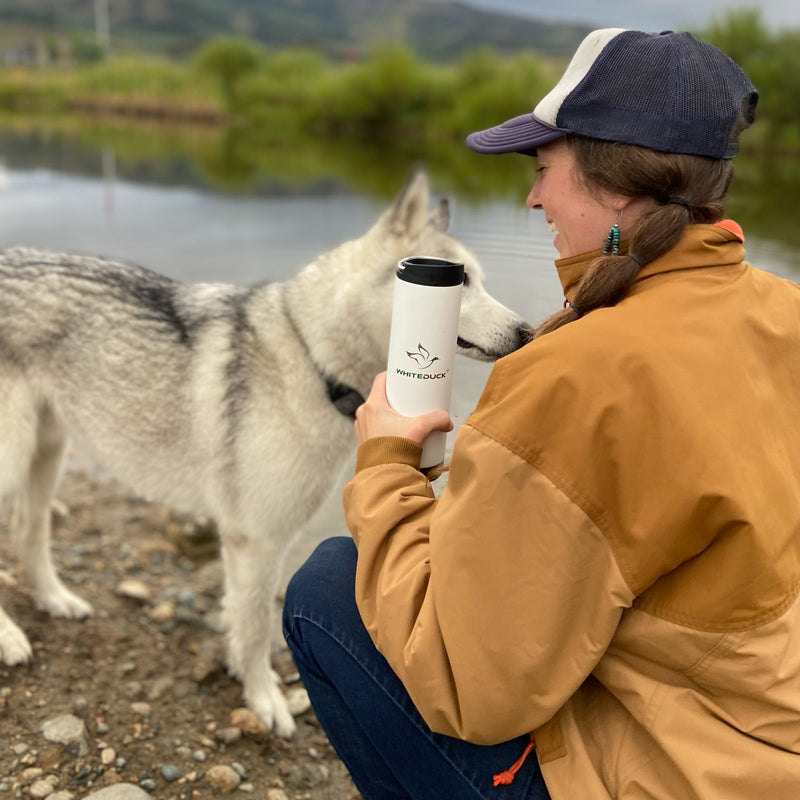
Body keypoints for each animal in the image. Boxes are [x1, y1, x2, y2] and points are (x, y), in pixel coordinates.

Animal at [0, 169, 528, 736]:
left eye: (480, 279)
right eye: (461, 282)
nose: (525, 333)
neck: (311, 357)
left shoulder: (261, 544)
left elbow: (241, 619)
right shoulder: (256, 540)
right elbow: (254, 630)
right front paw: (263, 699)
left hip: (47, 454)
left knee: (29, 532)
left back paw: (54, 599)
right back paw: (10, 637)